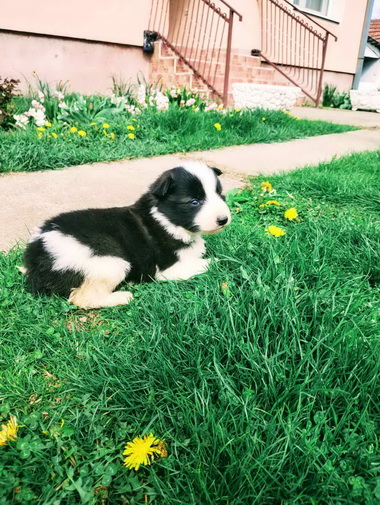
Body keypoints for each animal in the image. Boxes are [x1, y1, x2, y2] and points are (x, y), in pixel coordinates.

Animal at [23, 161, 232, 308]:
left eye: (221, 194)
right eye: (194, 202)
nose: (224, 219)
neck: (165, 219)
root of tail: (39, 252)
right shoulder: (166, 270)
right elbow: (211, 262)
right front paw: (222, 261)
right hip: (112, 262)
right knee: (80, 298)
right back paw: (122, 296)